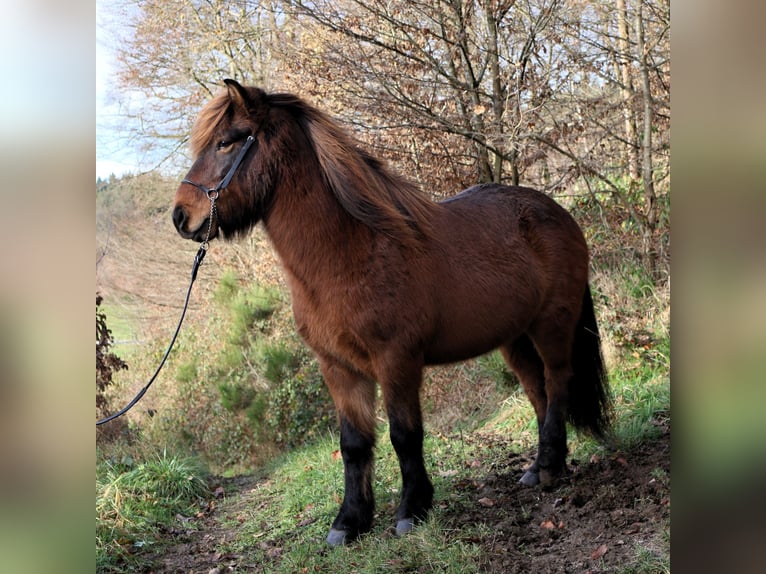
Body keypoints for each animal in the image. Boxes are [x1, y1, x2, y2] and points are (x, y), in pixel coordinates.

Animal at [173, 79, 611, 546]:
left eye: (226, 142)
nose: (181, 216)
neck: (349, 253)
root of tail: (557, 212)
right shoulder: (338, 367)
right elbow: (353, 444)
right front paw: (349, 521)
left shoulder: (396, 360)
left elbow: (405, 435)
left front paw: (413, 509)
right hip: (515, 337)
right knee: (537, 390)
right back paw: (539, 467)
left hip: (551, 325)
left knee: (558, 381)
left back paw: (550, 467)